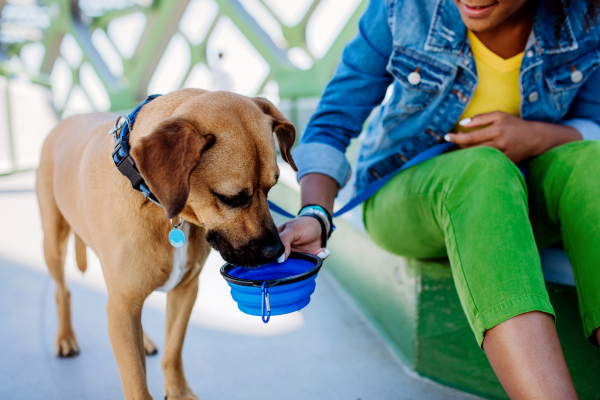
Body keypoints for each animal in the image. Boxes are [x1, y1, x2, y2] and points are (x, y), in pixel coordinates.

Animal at [34, 89, 296, 398]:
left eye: (271, 188)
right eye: (231, 198)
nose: (276, 252)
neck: (160, 206)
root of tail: (67, 121)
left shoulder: (184, 291)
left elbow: (173, 349)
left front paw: (178, 391)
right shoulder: (122, 308)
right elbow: (136, 382)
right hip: (54, 244)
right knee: (63, 291)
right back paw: (65, 337)